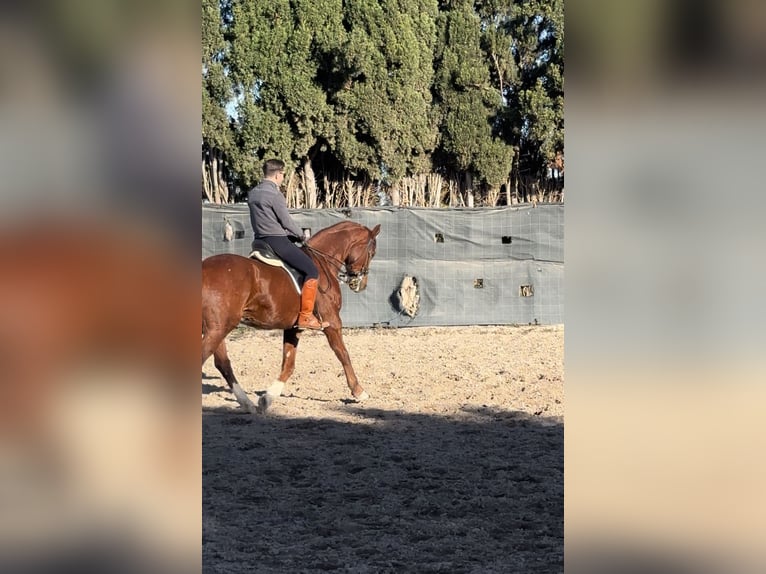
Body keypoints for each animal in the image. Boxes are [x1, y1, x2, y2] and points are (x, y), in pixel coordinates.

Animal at [201, 220, 380, 414]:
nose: (360, 284)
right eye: (372, 252)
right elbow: (343, 353)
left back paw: (247, 404)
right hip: (219, 329)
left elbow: (288, 364)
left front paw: (267, 399)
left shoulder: (294, 327)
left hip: (218, 328)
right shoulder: (332, 321)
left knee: (223, 363)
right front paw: (359, 391)